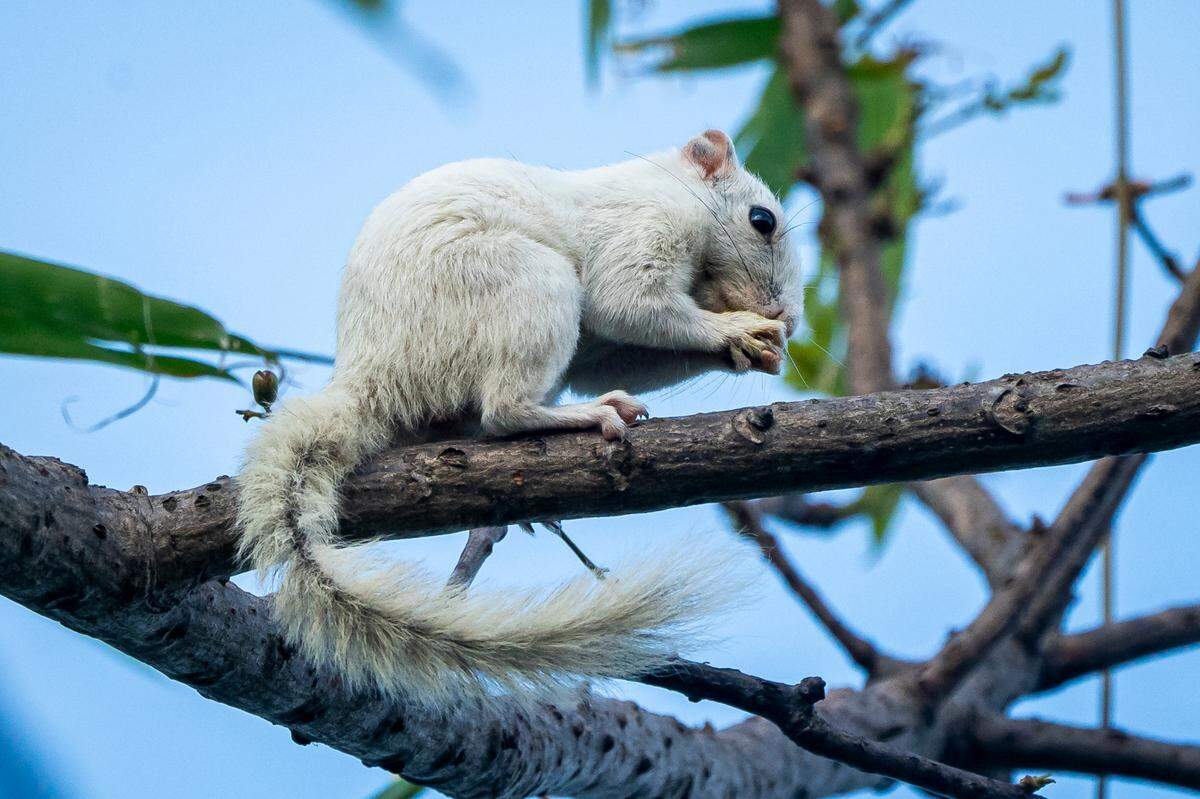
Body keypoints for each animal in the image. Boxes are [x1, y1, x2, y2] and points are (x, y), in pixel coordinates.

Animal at [236, 129, 802, 706]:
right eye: (762, 220)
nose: (789, 318)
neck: (670, 190)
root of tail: (370, 378)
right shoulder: (640, 228)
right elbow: (625, 302)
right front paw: (735, 330)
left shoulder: (600, 348)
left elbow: (610, 358)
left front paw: (760, 349)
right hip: (527, 282)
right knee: (504, 411)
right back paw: (586, 415)